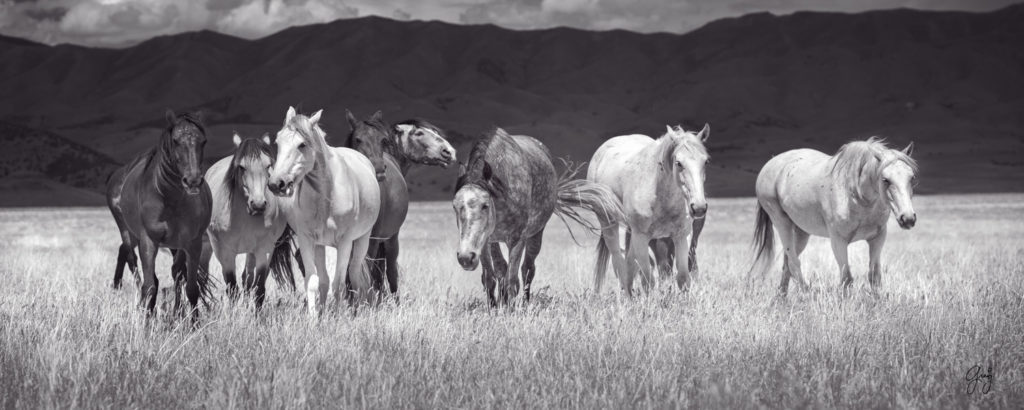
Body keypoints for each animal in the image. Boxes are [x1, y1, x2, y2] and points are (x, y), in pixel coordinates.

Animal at [105, 109, 214, 319]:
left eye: (204, 141)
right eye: (176, 141)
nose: (193, 181)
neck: (169, 199)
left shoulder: (192, 243)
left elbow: (190, 286)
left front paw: (194, 322)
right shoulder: (148, 241)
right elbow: (149, 287)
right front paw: (147, 322)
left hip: (173, 245)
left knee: (175, 272)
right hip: (127, 231)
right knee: (131, 258)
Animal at [268, 106, 380, 317]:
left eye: (302, 144)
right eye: (277, 142)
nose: (276, 184)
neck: (327, 196)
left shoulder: (345, 243)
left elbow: (339, 284)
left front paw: (338, 316)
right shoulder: (306, 240)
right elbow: (313, 282)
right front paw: (313, 318)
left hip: (362, 239)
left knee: (354, 274)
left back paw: (358, 309)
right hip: (320, 245)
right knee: (324, 280)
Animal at [454, 127, 622, 303]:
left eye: (485, 205)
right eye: (455, 206)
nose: (465, 257)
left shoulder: (517, 240)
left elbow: (512, 279)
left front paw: (510, 306)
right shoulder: (485, 241)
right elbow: (490, 277)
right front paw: (494, 306)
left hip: (536, 234)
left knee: (527, 269)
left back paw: (525, 302)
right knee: (502, 268)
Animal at [589, 123, 708, 297]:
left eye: (705, 161)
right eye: (679, 163)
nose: (698, 207)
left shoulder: (681, 236)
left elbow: (683, 278)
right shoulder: (642, 237)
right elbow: (648, 281)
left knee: (629, 263)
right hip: (609, 224)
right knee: (619, 262)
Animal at [745, 137, 921, 295]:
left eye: (912, 177)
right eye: (885, 179)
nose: (908, 218)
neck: (857, 196)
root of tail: (770, 164)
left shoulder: (877, 238)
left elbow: (874, 277)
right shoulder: (838, 241)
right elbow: (847, 279)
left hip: (801, 232)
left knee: (787, 263)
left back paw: (782, 296)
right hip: (782, 224)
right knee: (794, 263)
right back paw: (806, 295)